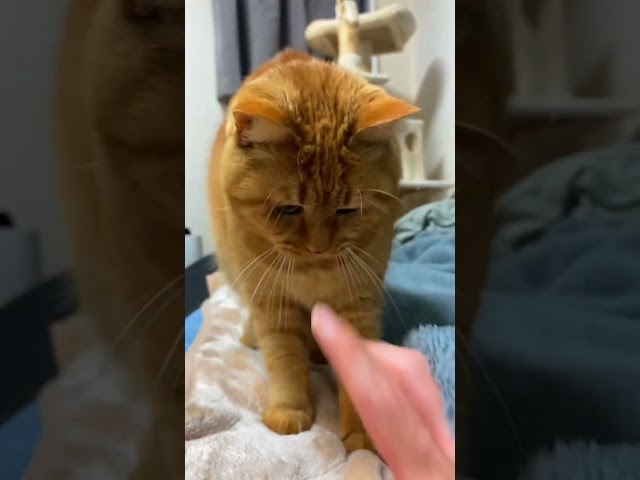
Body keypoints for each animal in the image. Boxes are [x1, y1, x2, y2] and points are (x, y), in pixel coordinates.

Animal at [209, 49, 418, 453]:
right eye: (289, 209)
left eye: (348, 210)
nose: (319, 247)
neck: (312, 273)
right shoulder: (272, 304)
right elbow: (285, 362)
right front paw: (289, 412)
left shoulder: (358, 302)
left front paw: (363, 432)